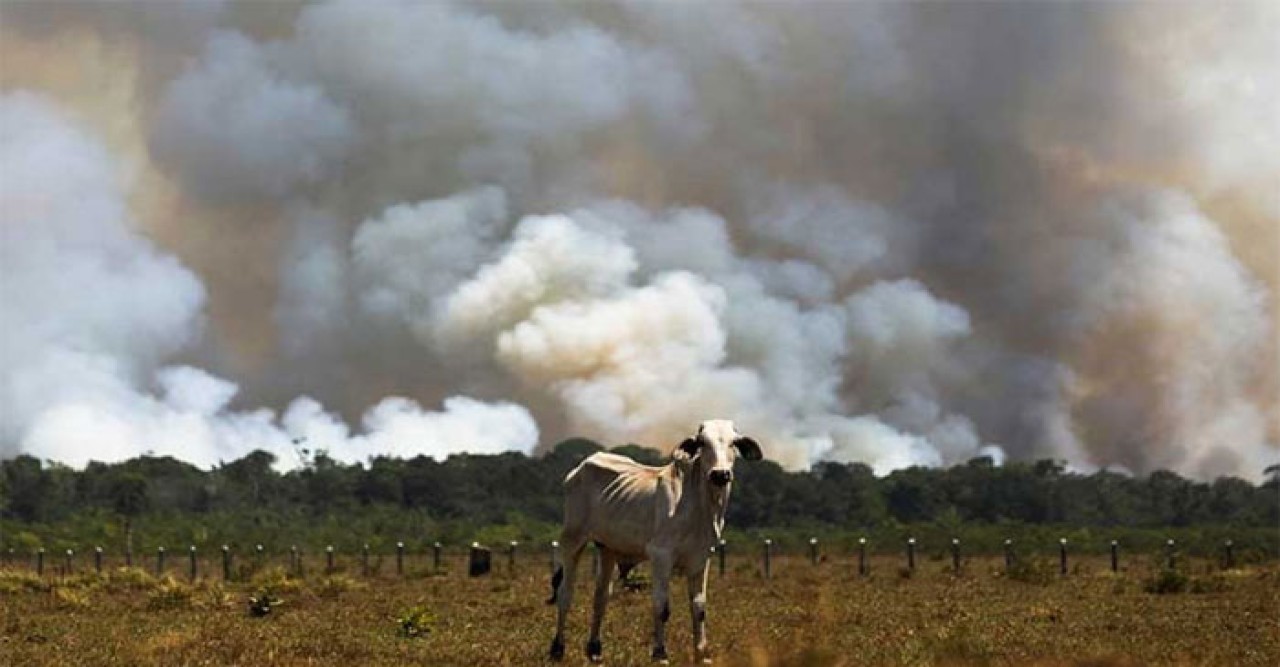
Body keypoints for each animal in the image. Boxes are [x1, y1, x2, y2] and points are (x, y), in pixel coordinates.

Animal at [547, 419, 757, 660]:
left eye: (734, 443)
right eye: (703, 442)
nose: (720, 474)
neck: (700, 505)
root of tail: (580, 467)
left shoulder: (702, 558)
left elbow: (699, 609)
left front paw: (701, 653)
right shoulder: (661, 556)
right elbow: (661, 606)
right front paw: (660, 652)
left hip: (607, 548)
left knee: (601, 597)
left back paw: (594, 649)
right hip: (572, 540)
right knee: (565, 593)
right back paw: (557, 648)